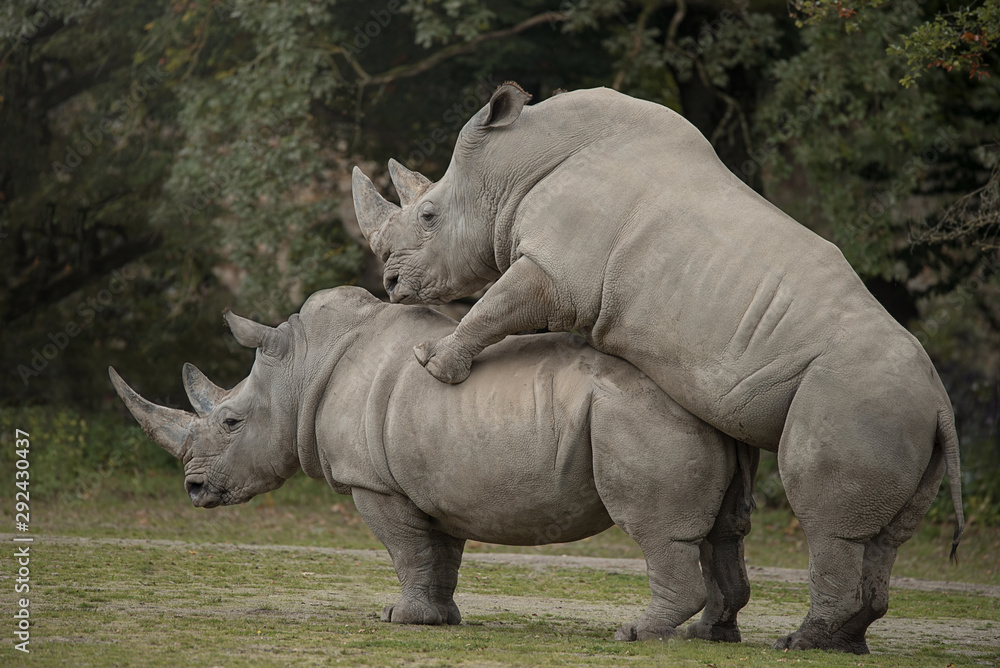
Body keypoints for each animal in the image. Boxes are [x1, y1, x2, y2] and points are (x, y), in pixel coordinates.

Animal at [109, 285, 759, 642]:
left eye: (230, 422)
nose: (193, 489)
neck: (303, 366)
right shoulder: (432, 480)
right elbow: (437, 553)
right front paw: (439, 618)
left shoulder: (375, 484)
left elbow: (404, 549)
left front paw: (399, 617)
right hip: (693, 418)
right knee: (724, 530)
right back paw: (711, 634)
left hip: (640, 416)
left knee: (658, 531)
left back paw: (636, 634)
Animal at [351, 83, 966, 653]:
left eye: (429, 216)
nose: (391, 284)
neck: (513, 167)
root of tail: (941, 403)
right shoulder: (564, 274)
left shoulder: (556, 273)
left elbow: (495, 305)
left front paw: (432, 363)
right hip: (901, 409)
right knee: (884, 540)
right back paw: (834, 642)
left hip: (854, 395)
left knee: (827, 521)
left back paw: (798, 643)